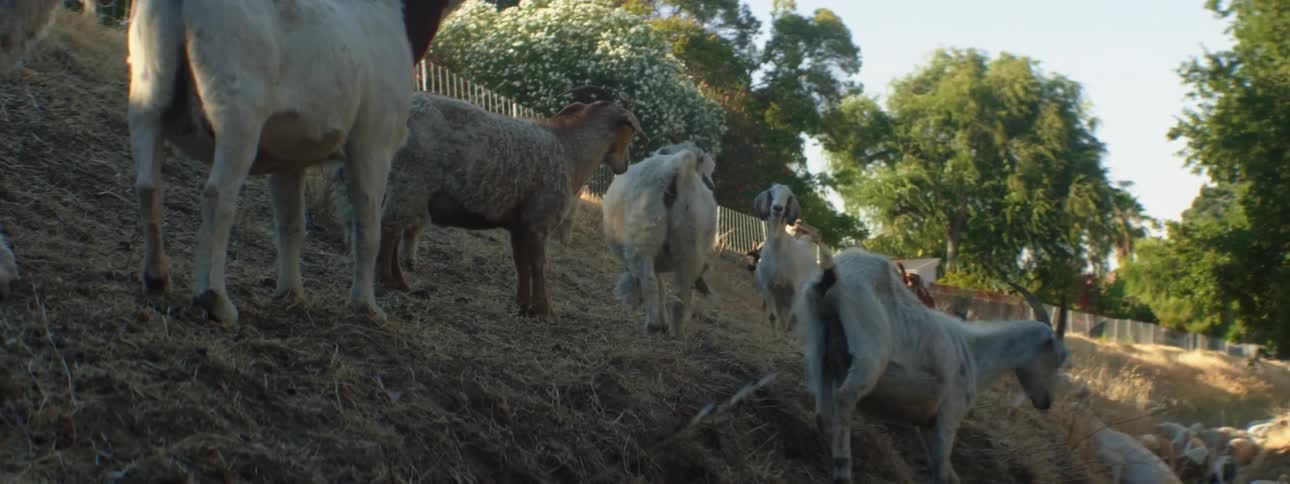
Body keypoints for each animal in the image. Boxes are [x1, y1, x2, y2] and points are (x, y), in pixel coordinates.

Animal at [126, 0, 460, 322]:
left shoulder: (288, 156)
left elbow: (291, 224)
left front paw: (291, 293)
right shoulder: (373, 144)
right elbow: (368, 229)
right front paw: (366, 305)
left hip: (149, 90)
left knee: (148, 185)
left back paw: (156, 277)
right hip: (236, 109)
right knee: (217, 197)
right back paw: (214, 298)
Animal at [336, 88, 643, 318]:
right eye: (630, 131)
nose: (625, 166)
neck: (571, 151)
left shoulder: (519, 225)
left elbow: (521, 264)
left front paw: (523, 305)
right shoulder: (538, 218)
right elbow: (538, 264)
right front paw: (544, 310)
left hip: (401, 184)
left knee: (388, 226)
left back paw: (397, 281)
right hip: (410, 181)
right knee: (389, 228)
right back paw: (391, 280)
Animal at [602, 142, 718, 336]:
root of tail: (680, 165)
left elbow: (656, 284)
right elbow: (663, 286)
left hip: (644, 238)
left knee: (649, 283)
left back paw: (653, 325)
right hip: (690, 245)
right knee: (681, 294)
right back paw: (676, 332)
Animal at [793, 246, 1069, 483]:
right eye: (1058, 358)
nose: (1046, 402)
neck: (975, 354)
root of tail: (832, 275)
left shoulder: (926, 423)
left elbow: (948, 474)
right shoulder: (949, 415)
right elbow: (941, 469)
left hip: (819, 345)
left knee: (823, 413)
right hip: (869, 353)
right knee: (844, 398)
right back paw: (843, 470)